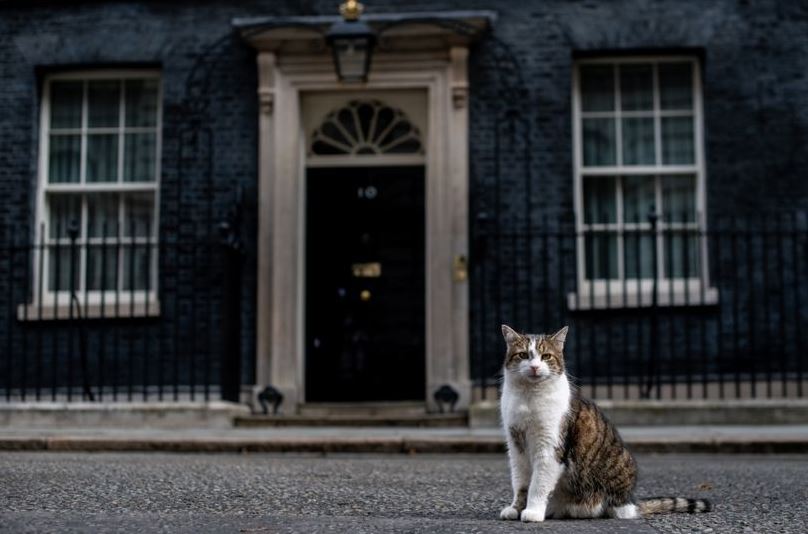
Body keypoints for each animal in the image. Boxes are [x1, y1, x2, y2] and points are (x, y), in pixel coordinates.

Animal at [496, 326, 712, 524]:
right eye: (523, 355)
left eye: (546, 356)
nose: (534, 367)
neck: (528, 397)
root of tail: (631, 501)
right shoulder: (516, 446)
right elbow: (520, 484)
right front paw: (516, 509)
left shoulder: (549, 447)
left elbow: (538, 484)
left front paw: (533, 511)